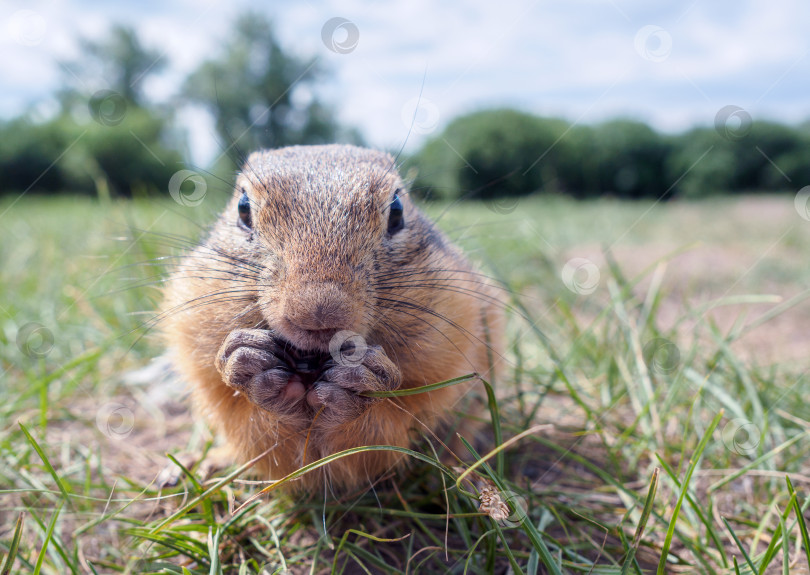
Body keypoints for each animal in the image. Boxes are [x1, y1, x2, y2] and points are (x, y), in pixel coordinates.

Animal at [163, 144, 504, 490]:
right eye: (243, 208)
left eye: (397, 210)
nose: (318, 313)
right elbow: (265, 441)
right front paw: (249, 365)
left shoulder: (441, 359)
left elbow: (381, 436)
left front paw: (360, 382)